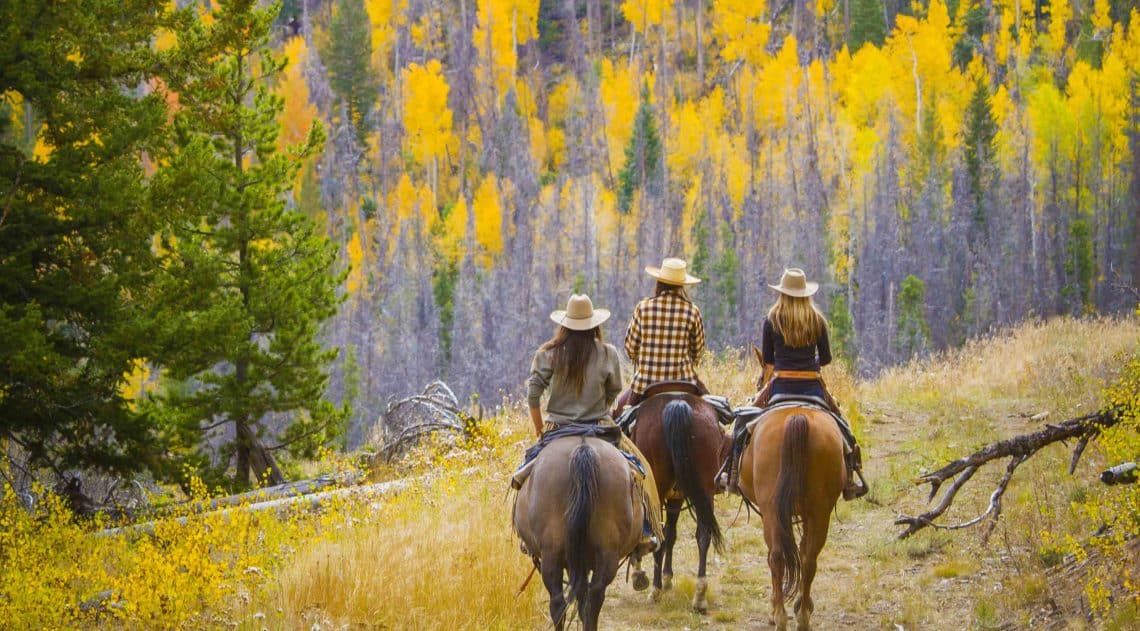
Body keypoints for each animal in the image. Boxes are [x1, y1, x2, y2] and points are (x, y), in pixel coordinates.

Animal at [624, 387, 729, 610]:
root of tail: (677, 403)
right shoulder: (676, 497)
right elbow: (671, 534)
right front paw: (667, 578)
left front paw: (641, 575)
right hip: (704, 488)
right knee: (703, 535)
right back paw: (699, 596)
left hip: (658, 486)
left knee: (659, 534)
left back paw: (655, 590)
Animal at [738, 403, 848, 628]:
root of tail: (797, 417)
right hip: (818, 512)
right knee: (808, 559)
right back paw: (803, 616)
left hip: (773, 511)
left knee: (777, 557)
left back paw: (779, 616)